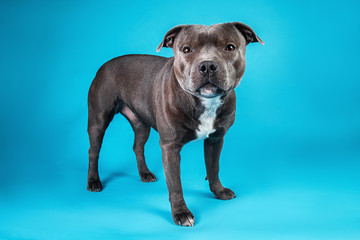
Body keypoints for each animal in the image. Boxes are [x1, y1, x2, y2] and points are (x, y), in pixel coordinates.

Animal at [86, 21, 262, 226]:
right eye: (186, 49)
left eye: (230, 47)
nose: (208, 65)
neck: (204, 102)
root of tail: (105, 64)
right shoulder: (170, 147)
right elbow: (175, 184)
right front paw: (181, 213)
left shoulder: (216, 139)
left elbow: (213, 167)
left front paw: (218, 191)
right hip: (98, 120)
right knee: (93, 151)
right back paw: (93, 182)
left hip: (141, 124)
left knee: (138, 146)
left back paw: (144, 173)